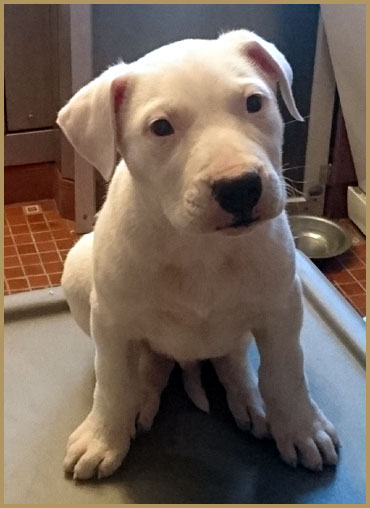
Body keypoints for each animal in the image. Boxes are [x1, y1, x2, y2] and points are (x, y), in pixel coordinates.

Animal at [57, 28, 338, 480]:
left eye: (254, 103)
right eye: (160, 128)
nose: (239, 187)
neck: (201, 247)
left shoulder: (282, 308)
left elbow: (286, 372)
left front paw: (301, 428)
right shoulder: (111, 323)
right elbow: (113, 380)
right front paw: (103, 438)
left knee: (232, 356)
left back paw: (250, 401)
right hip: (80, 272)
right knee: (148, 363)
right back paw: (143, 398)